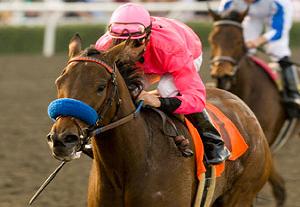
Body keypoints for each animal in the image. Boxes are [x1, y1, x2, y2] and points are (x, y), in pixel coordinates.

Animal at [46, 34, 284, 206]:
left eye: (100, 86)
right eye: (59, 82)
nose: (62, 139)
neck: (130, 163)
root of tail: (245, 109)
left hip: (241, 194)